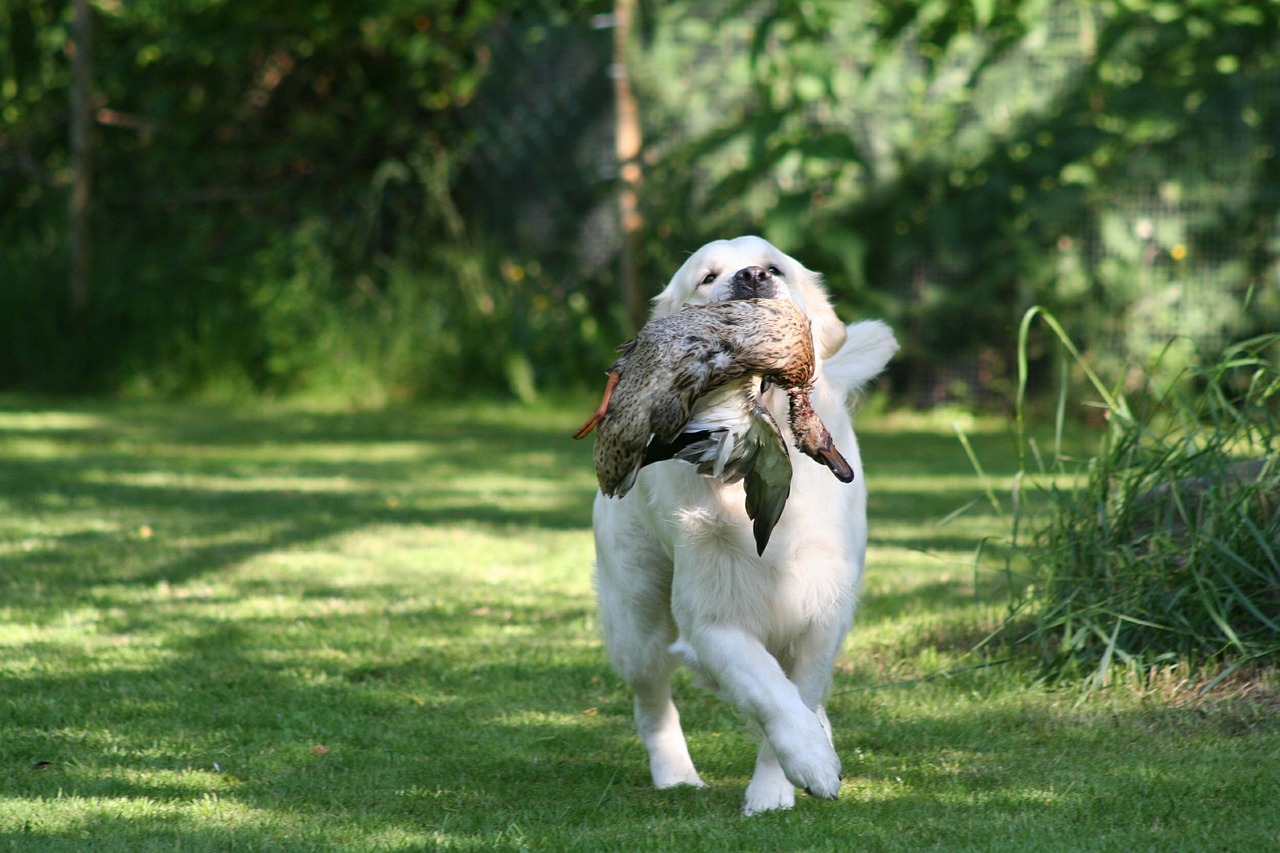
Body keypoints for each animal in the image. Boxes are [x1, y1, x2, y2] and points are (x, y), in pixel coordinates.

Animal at [591, 233, 901, 809]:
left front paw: (776, 785)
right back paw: (675, 773)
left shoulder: (824, 609)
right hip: (637, 615)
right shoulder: (711, 617)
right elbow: (769, 692)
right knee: (652, 699)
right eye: (708, 277)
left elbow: (796, 690)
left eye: (774, 267)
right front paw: (806, 764)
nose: (752, 278)